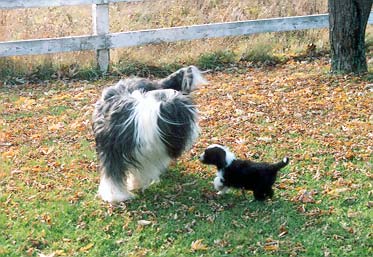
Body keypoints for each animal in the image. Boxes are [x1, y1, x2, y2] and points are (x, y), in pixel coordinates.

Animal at [91, 65, 205, 202]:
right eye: (190, 116)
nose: (197, 130)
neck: (153, 117)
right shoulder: (112, 149)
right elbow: (113, 173)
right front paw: (116, 196)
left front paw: (136, 183)